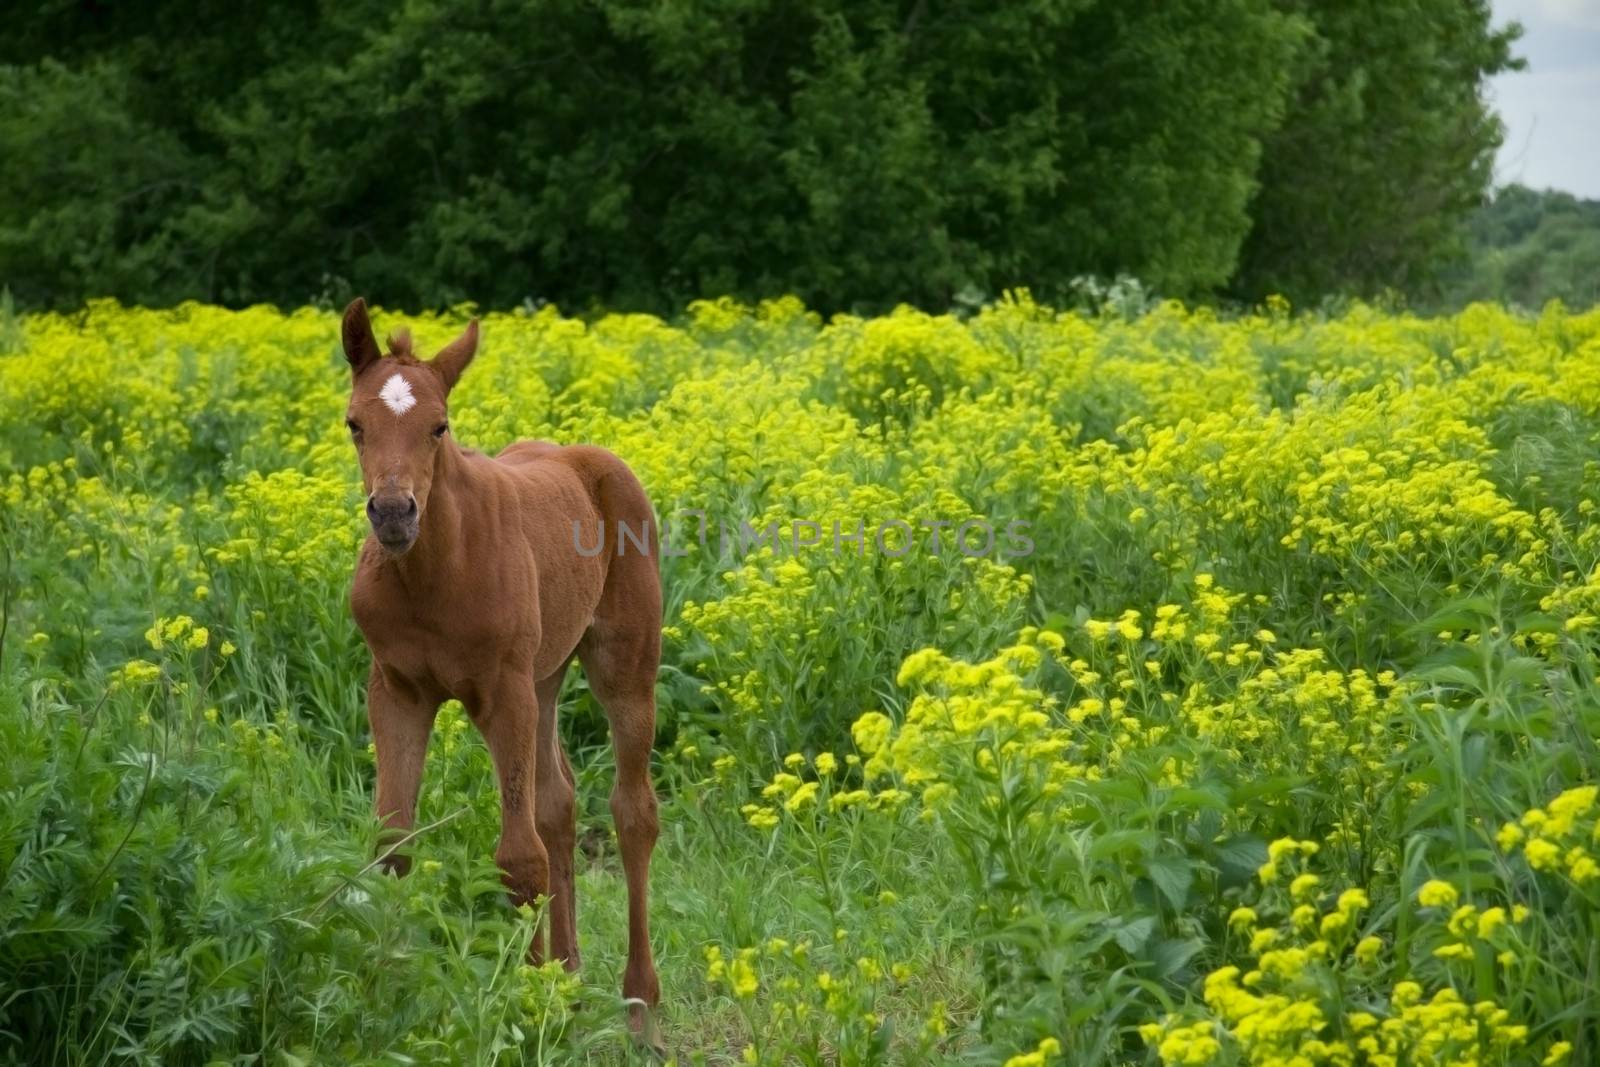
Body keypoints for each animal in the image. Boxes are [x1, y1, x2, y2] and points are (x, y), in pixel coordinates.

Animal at [337, 300, 662, 1036]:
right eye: (354, 425)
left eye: (439, 426)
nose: (393, 513)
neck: (436, 572)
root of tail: (591, 459)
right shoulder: (396, 690)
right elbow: (392, 843)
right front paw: (388, 987)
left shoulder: (502, 691)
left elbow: (519, 854)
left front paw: (528, 996)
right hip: (546, 677)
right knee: (559, 803)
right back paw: (570, 977)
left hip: (622, 666)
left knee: (632, 811)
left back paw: (638, 1001)